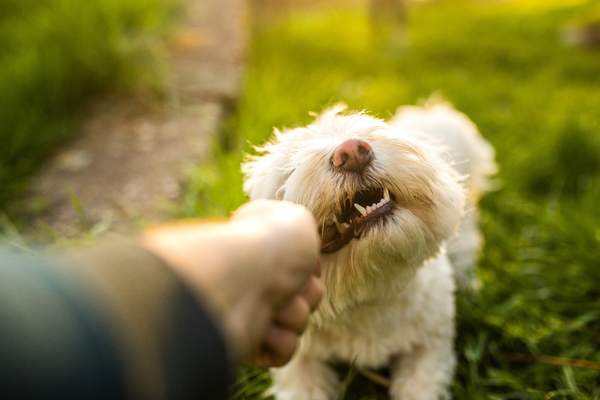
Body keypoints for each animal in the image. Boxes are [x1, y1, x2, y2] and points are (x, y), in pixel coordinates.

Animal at [241, 101, 494, 398]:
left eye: (363, 129)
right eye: (289, 170)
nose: (351, 152)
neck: (367, 290)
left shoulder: (430, 345)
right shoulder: (299, 359)